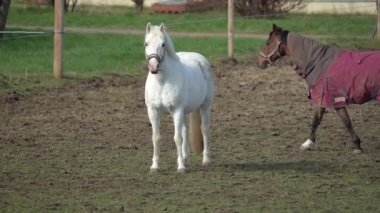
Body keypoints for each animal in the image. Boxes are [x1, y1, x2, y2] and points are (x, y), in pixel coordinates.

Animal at [144, 22, 214, 173]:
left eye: (163, 44)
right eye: (146, 43)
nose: (153, 66)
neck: (162, 81)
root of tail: (201, 60)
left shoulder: (177, 110)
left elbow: (177, 138)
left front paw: (181, 167)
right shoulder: (153, 110)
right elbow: (156, 137)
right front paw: (155, 166)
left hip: (205, 106)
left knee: (204, 129)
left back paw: (206, 160)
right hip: (185, 111)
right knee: (185, 130)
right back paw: (186, 158)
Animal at [258, 24, 380, 153]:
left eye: (267, 43)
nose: (259, 62)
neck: (319, 63)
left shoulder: (325, 98)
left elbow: (318, 120)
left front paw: (307, 143)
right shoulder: (334, 99)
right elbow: (344, 120)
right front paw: (357, 145)